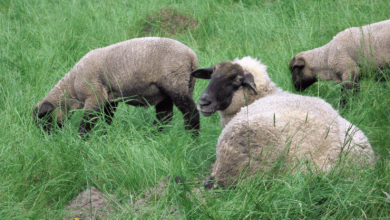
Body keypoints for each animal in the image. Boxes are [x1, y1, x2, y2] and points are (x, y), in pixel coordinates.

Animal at [32, 37, 200, 137]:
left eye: (44, 120)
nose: (47, 139)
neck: (72, 86)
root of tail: (192, 55)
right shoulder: (109, 98)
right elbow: (107, 118)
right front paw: (105, 134)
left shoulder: (94, 96)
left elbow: (88, 121)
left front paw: (81, 139)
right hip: (164, 90)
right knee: (164, 116)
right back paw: (154, 135)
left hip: (176, 84)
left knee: (190, 111)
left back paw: (192, 137)